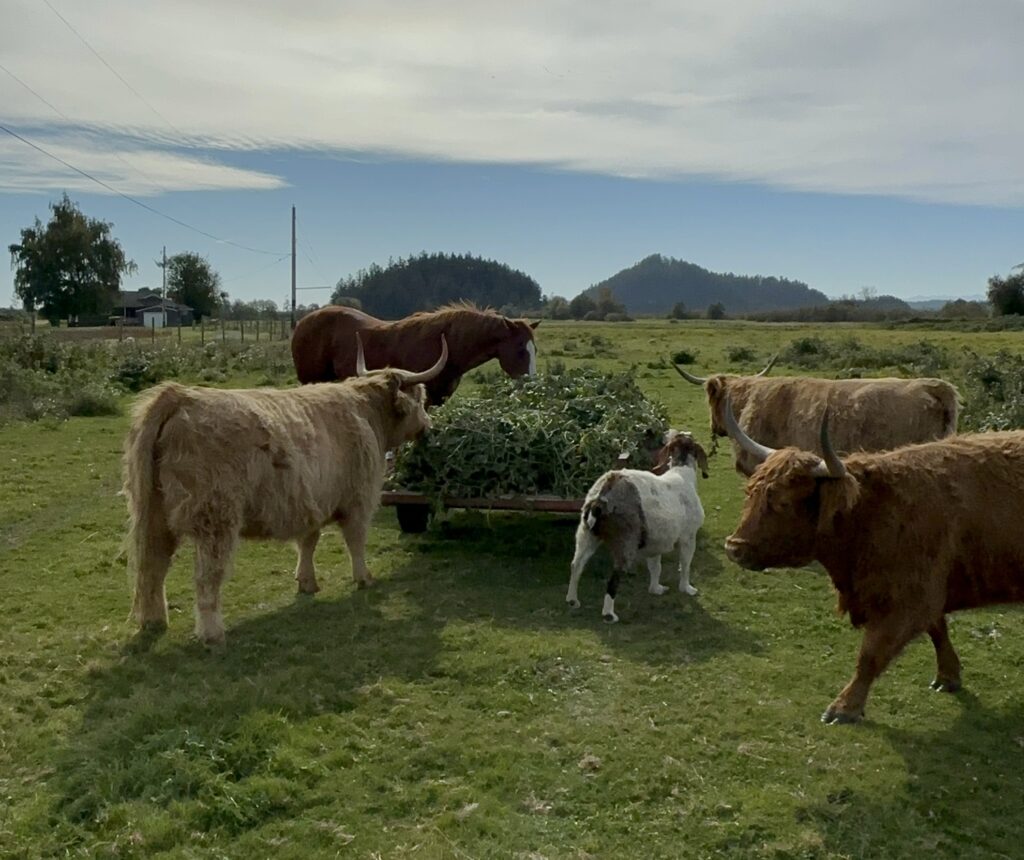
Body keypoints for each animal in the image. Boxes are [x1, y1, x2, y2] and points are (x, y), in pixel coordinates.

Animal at [122, 335, 447, 646]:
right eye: (421, 398)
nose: (428, 426)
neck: (368, 414)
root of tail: (181, 396)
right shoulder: (359, 498)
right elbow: (355, 540)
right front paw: (364, 578)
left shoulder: (311, 501)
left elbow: (308, 542)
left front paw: (307, 582)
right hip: (215, 519)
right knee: (206, 575)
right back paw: (212, 633)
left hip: (152, 514)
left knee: (152, 567)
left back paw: (153, 621)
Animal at [565, 431, 709, 622]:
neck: (682, 472)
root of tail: (602, 496)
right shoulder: (689, 537)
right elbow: (685, 564)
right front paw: (687, 588)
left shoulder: (656, 541)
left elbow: (655, 567)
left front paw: (656, 589)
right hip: (625, 543)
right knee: (613, 578)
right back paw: (609, 614)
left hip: (586, 535)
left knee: (576, 565)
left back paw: (572, 600)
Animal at [721, 395, 1024, 724]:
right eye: (751, 492)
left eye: (783, 502)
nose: (734, 547)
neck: (868, 512)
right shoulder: (925, 595)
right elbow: (937, 631)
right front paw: (948, 677)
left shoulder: (907, 601)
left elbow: (870, 655)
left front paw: (844, 708)